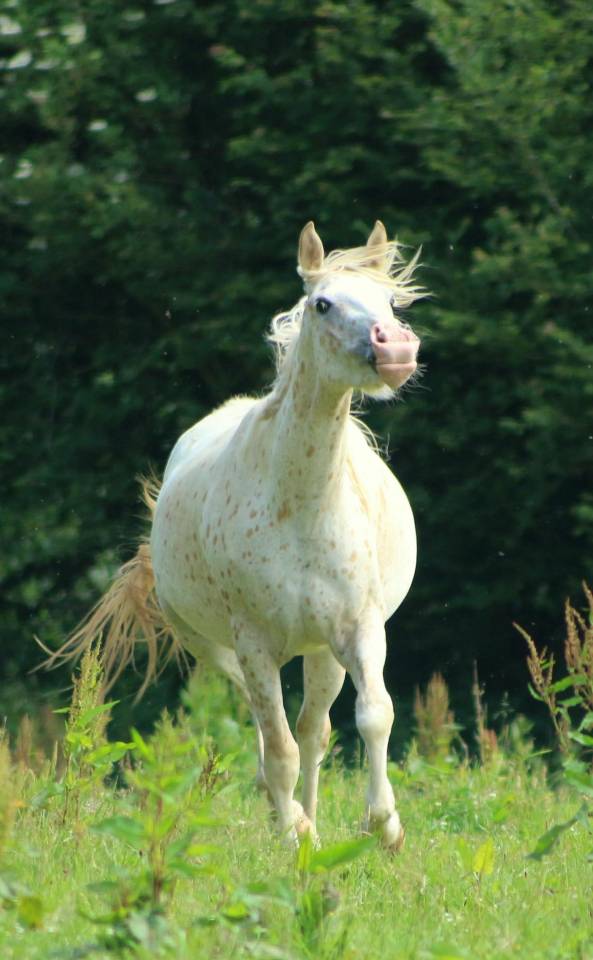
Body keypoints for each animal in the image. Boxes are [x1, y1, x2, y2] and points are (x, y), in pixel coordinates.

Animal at [47, 220, 425, 851]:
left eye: (391, 302)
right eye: (322, 304)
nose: (394, 348)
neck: (302, 506)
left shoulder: (359, 627)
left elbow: (374, 715)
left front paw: (384, 827)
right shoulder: (254, 643)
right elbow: (279, 750)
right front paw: (295, 837)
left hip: (320, 650)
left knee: (315, 730)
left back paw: (314, 817)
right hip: (218, 649)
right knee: (269, 735)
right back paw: (291, 819)